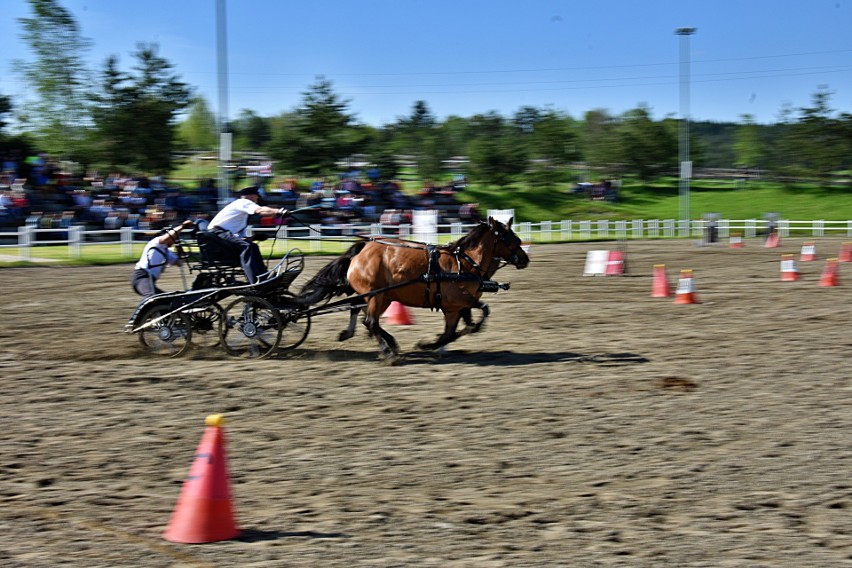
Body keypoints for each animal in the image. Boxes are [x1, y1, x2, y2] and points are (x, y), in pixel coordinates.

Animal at [296, 215, 528, 362]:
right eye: (510, 239)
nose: (525, 259)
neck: (464, 263)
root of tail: (361, 250)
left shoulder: (455, 308)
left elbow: (453, 331)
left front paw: (430, 345)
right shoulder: (459, 301)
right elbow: (483, 311)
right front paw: (430, 345)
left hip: (381, 296)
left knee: (360, 312)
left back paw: (373, 339)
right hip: (376, 296)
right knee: (370, 321)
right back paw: (388, 352)